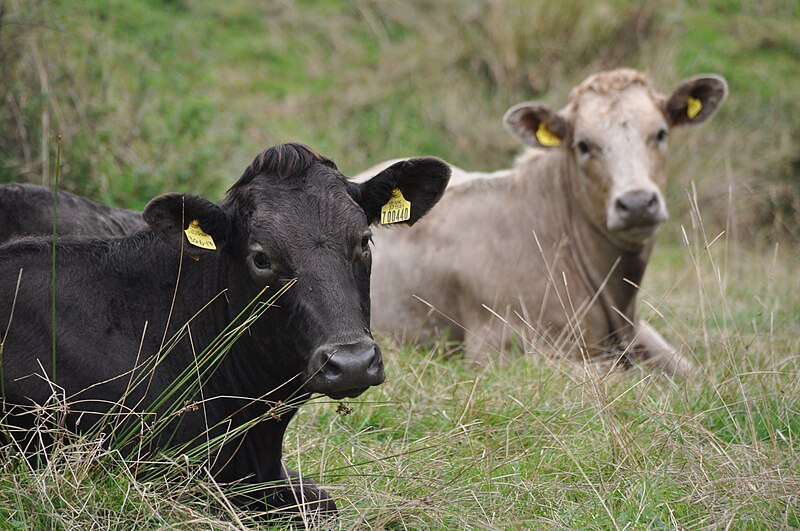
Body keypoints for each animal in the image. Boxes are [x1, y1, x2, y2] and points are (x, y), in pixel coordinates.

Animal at [366, 69, 728, 378]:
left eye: (661, 134)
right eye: (583, 145)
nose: (637, 203)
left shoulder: (641, 329)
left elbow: (696, 375)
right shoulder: (496, 349)